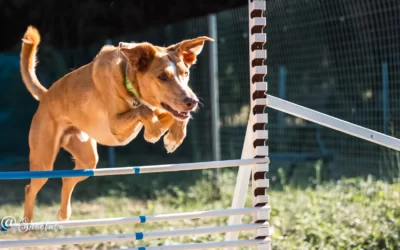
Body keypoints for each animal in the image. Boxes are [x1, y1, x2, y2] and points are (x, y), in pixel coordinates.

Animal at [19, 24, 212, 221]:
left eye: (186, 73)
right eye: (162, 77)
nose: (192, 101)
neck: (129, 81)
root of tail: (46, 95)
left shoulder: (162, 110)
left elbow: (173, 116)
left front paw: (173, 138)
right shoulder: (117, 128)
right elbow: (145, 111)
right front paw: (153, 133)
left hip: (88, 160)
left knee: (66, 179)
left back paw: (64, 214)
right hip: (43, 162)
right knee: (30, 188)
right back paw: (28, 223)